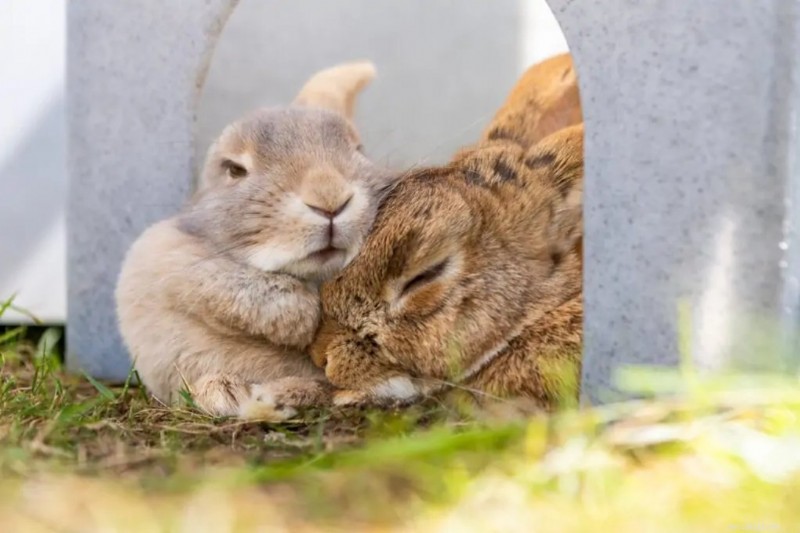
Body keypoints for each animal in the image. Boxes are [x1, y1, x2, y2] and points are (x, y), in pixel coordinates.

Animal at [115, 60, 398, 420]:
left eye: (358, 150)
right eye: (234, 170)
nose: (329, 199)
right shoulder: (168, 263)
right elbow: (238, 287)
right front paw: (304, 319)